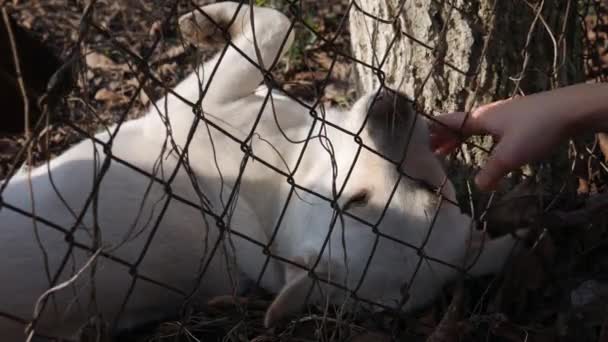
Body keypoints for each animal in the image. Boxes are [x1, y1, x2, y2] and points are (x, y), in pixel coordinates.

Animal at [0, 2, 524, 340]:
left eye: (427, 188)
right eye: (355, 200)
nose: (389, 108)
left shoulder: (195, 103)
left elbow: (274, 25)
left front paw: (209, 22)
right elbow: (278, 24)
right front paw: (207, 21)